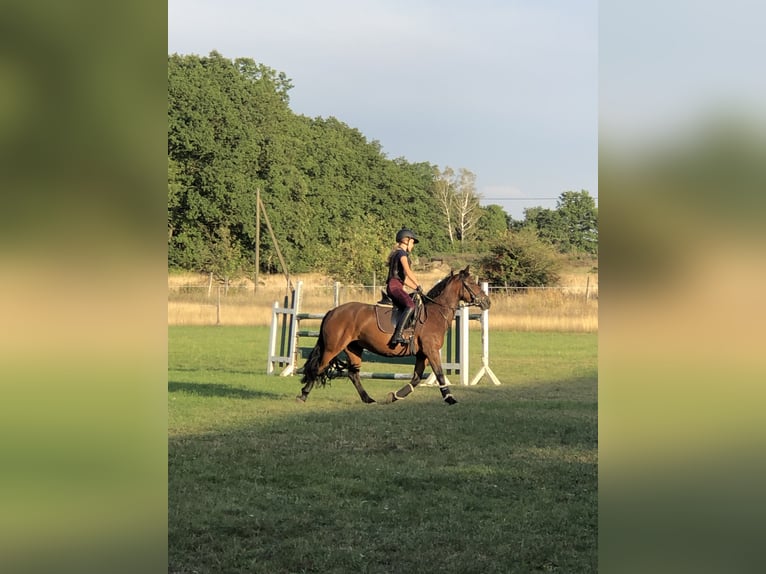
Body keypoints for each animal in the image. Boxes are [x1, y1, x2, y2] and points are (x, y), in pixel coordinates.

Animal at [297, 266, 490, 405]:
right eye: (472, 283)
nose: (487, 302)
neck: (435, 314)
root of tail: (333, 311)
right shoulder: (431, 351)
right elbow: (440, 374)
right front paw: (449, 398)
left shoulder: (422, 354)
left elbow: (416, 379)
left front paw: (394, 396)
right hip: (333, 347)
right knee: (319, 367)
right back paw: (303, 395)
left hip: (354, 348)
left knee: (353, 374)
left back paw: (368, 399)